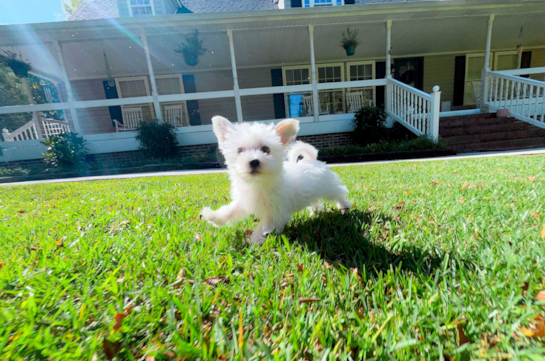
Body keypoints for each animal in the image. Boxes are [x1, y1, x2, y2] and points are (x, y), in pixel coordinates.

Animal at [200, 116, 348, 243]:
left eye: (266, 149)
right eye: (239, 150)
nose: (253, 161)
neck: (258, 183)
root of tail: (312, 160)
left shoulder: (276, 213)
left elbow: (263, 227)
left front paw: (253, 240)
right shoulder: (244, 202)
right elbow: (230, 210)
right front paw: (213, 216)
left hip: (329, 188)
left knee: (339, 193)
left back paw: (344, 207)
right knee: (316, 201)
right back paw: (316, 212)